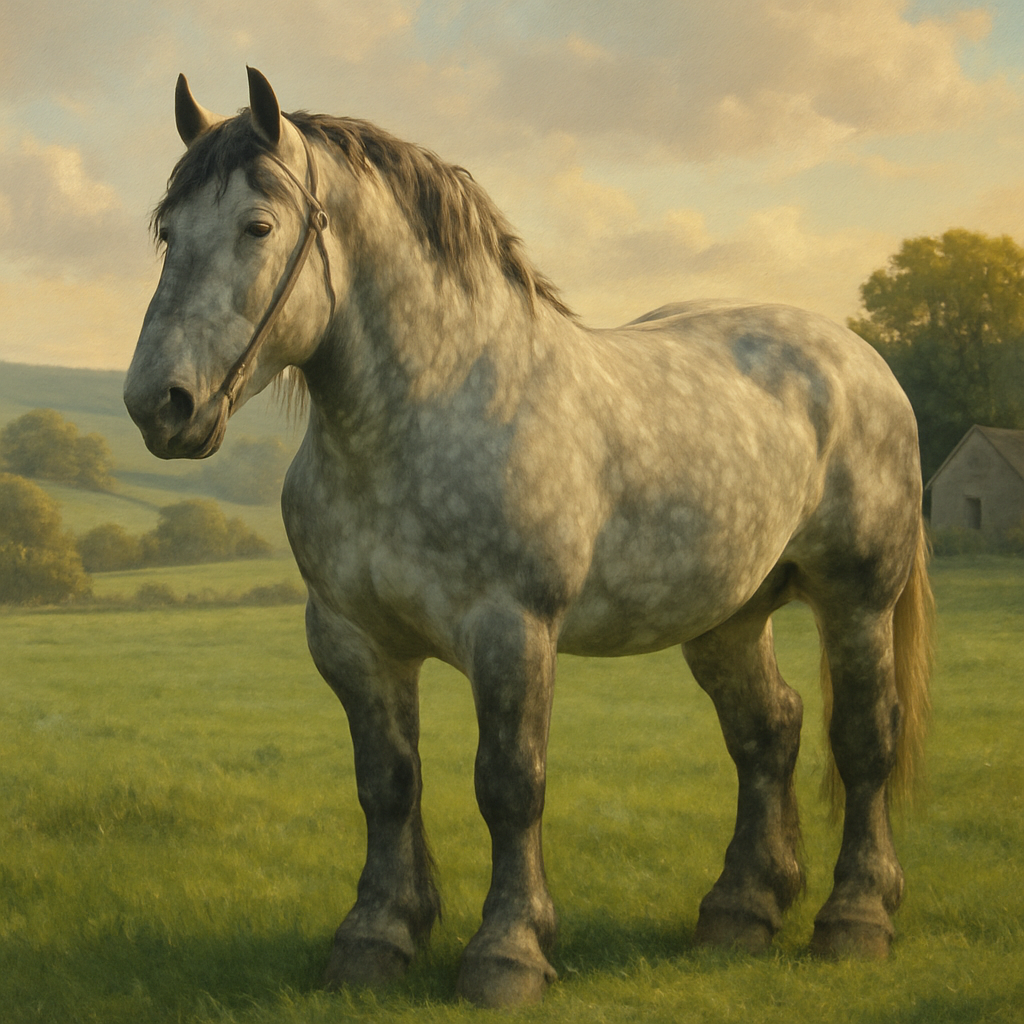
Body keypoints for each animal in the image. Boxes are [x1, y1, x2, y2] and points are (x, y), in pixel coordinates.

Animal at [124, 67, 933, 1008]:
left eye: (258, 227)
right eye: (169, 231)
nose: (159, 404)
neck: (425, 412)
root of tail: (859, 357)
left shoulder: (511, 632)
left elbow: (510, 786)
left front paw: (506, 954)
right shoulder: (351, 639)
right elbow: (387, 784)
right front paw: (376, 937)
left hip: (857, 600)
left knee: (864, 737)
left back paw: (857, 919)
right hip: (728, 619)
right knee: (768, 731)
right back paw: (741, 910)